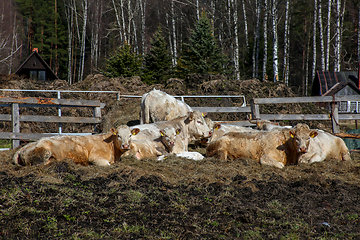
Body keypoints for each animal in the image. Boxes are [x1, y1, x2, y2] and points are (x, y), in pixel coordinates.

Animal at [12, 125, 140, 167]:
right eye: (118, 135)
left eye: (130, 135)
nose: (125, 146)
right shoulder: (96, 158)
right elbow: (107, 165)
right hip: (44, 153)